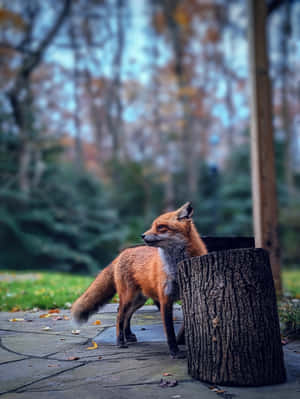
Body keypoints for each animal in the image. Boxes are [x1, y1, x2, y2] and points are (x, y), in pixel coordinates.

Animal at [71, 203, 207, 360]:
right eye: (153, 226)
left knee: (127, 315)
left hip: (139, 299)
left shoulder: (188, 295)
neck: (176, 267)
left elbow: (185, 325)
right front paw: (175, 352)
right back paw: (120, 341)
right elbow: (170, 331)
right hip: (129, 297)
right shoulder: (165, 299)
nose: (142, 235)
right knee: (119, 315)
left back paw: (128, 335)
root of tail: (123, 253)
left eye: (161, 227)